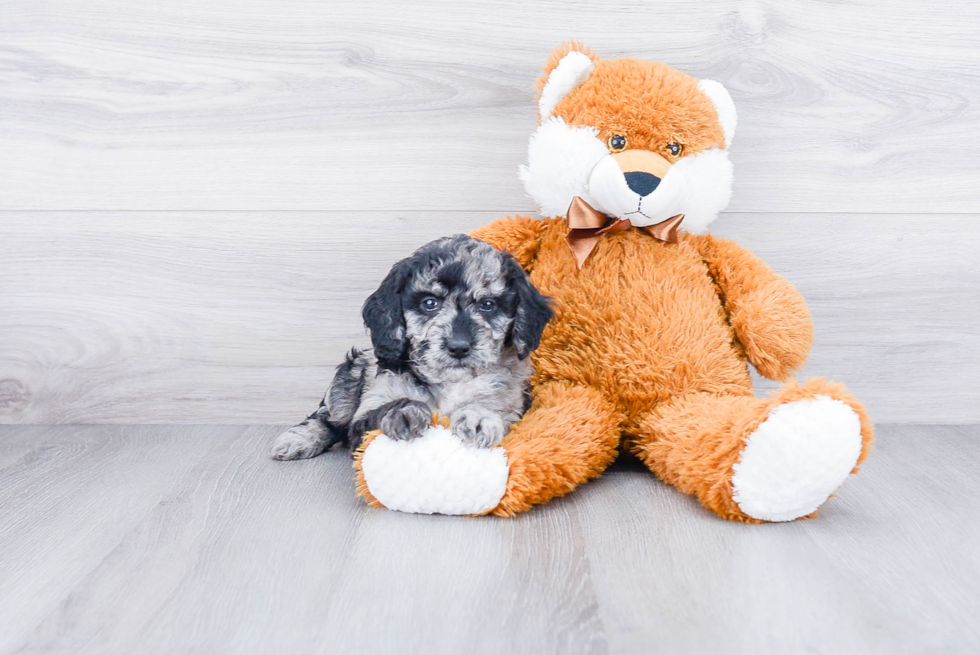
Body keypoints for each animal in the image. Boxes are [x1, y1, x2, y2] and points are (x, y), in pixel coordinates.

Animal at [270, 236, 552, 462]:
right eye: (429, 303)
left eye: (488, 305)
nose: (459, 347)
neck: (449, 382)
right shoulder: (369, 411)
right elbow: (378, 412)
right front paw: (403, 412)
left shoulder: (515, 404)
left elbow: (491, 407)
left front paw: (478, 417)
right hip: (350, 375)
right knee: (328, 418)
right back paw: (298, 439)